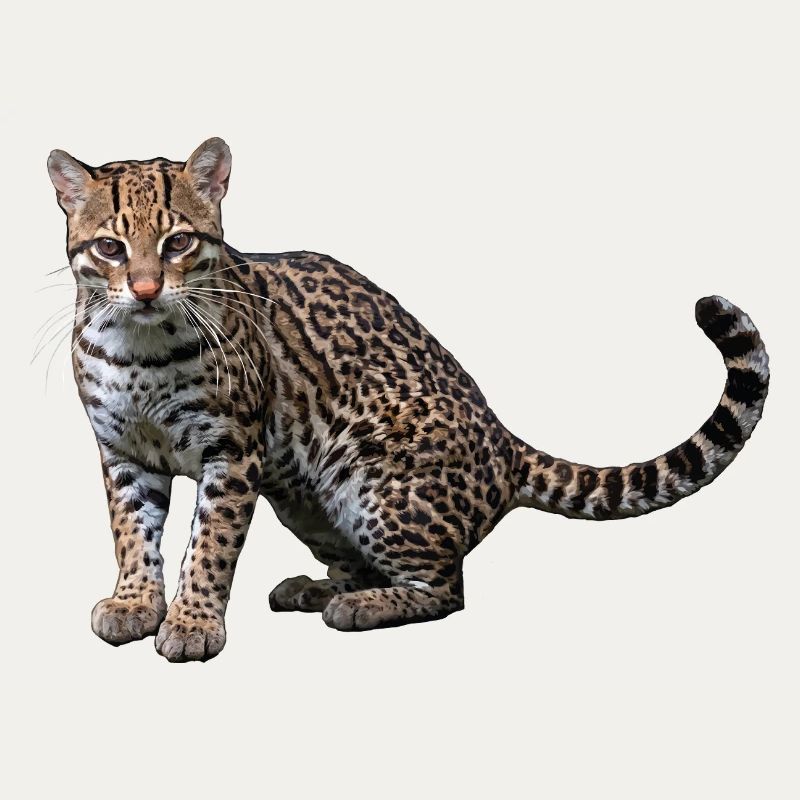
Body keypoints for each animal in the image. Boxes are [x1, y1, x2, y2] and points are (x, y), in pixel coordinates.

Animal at [45, 137, 770, 661]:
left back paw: (360, 607)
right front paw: (135, 603)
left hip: (370, 485)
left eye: (178, 243)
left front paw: (193, 621)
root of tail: (507, 443)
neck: (139, 347)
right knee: (364, 565)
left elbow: (210, 544)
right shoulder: (121, 452)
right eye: (110, 248)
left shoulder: (233, 450)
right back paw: (318, 588)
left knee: (447, 588)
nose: (144, 289)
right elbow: (132, 533)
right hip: (305, 499)